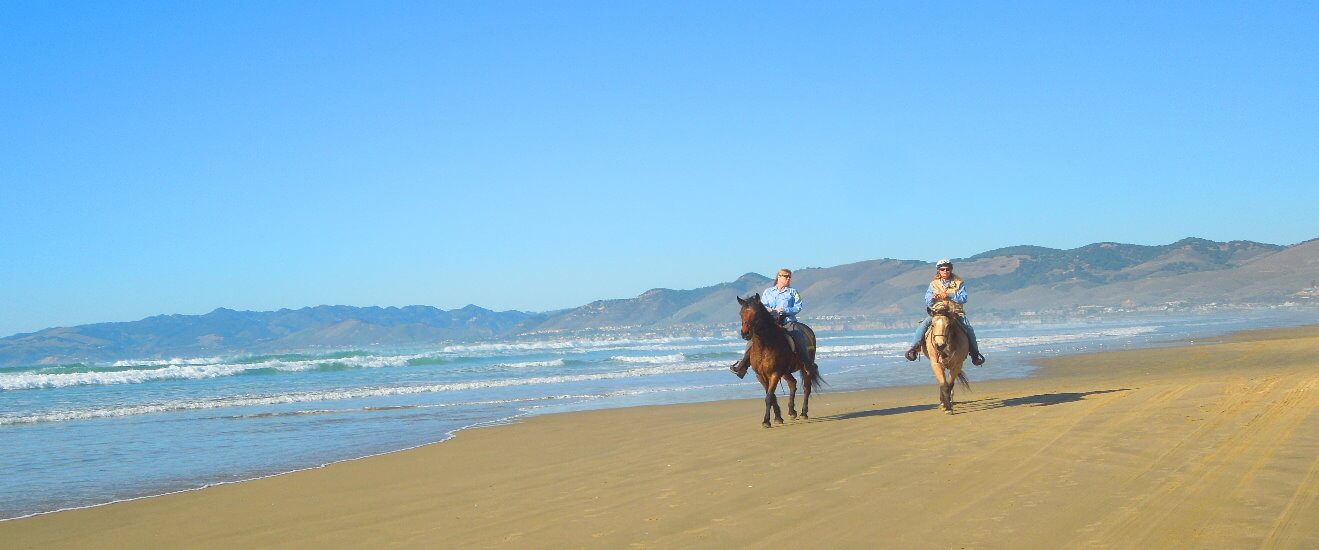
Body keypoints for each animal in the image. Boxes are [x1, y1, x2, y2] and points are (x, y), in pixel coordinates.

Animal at [738, 294, 817, 427]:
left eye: (756, 313)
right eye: (741, 313)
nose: (745, 333)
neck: (765, 346)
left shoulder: (775, 373)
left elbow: (769, 397)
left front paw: (766, 421)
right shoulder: (761, 375)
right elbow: (772, 396)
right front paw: (778, 417)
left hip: (804, 368)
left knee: (807, 387)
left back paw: (803, 413)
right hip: (785, 372)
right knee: (793, 383)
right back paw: (792, 411)